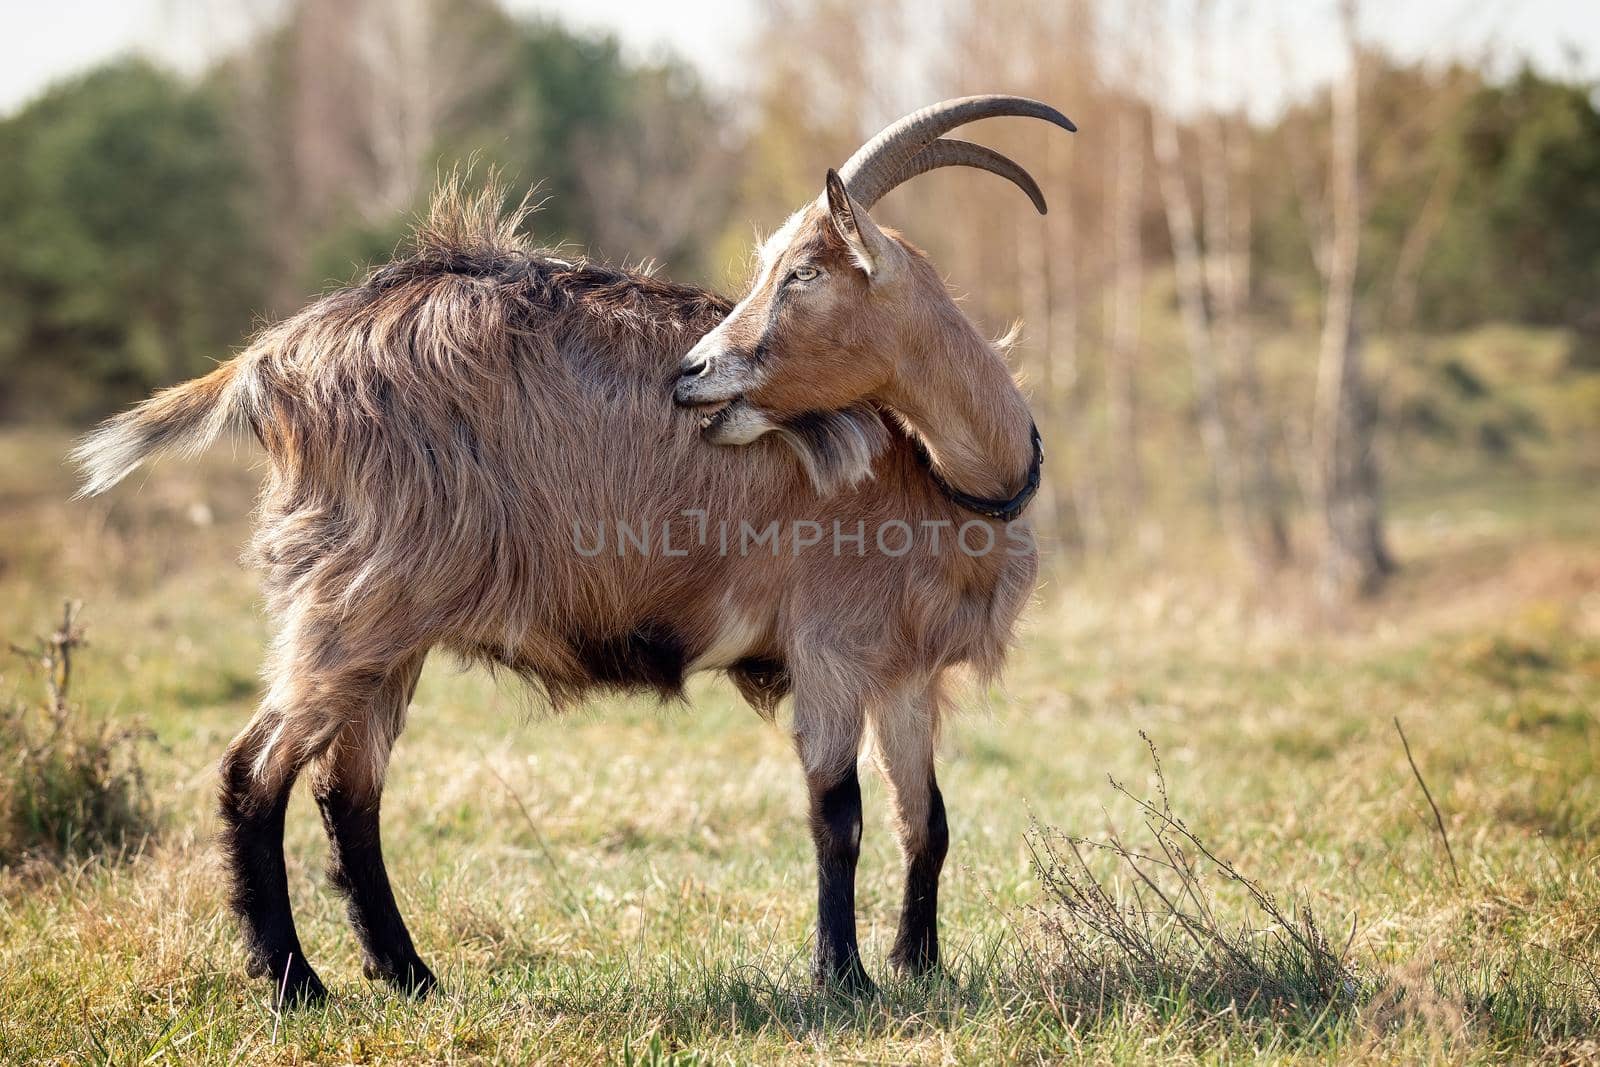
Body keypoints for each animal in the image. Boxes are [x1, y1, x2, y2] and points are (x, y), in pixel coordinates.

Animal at [75, 95, 1075, 1004]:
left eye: (802, 271)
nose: (693, 371)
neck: (940, 470)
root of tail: (270, 363)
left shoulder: (908, 671)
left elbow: (925, 821)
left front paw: (920, 964)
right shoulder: (827, 648)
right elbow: (839, 814)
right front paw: (845, 979)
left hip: (384, 629)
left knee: (347, 791)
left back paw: (410, 975)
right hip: (349, 604)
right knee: (254, 772)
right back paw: (294, 982)